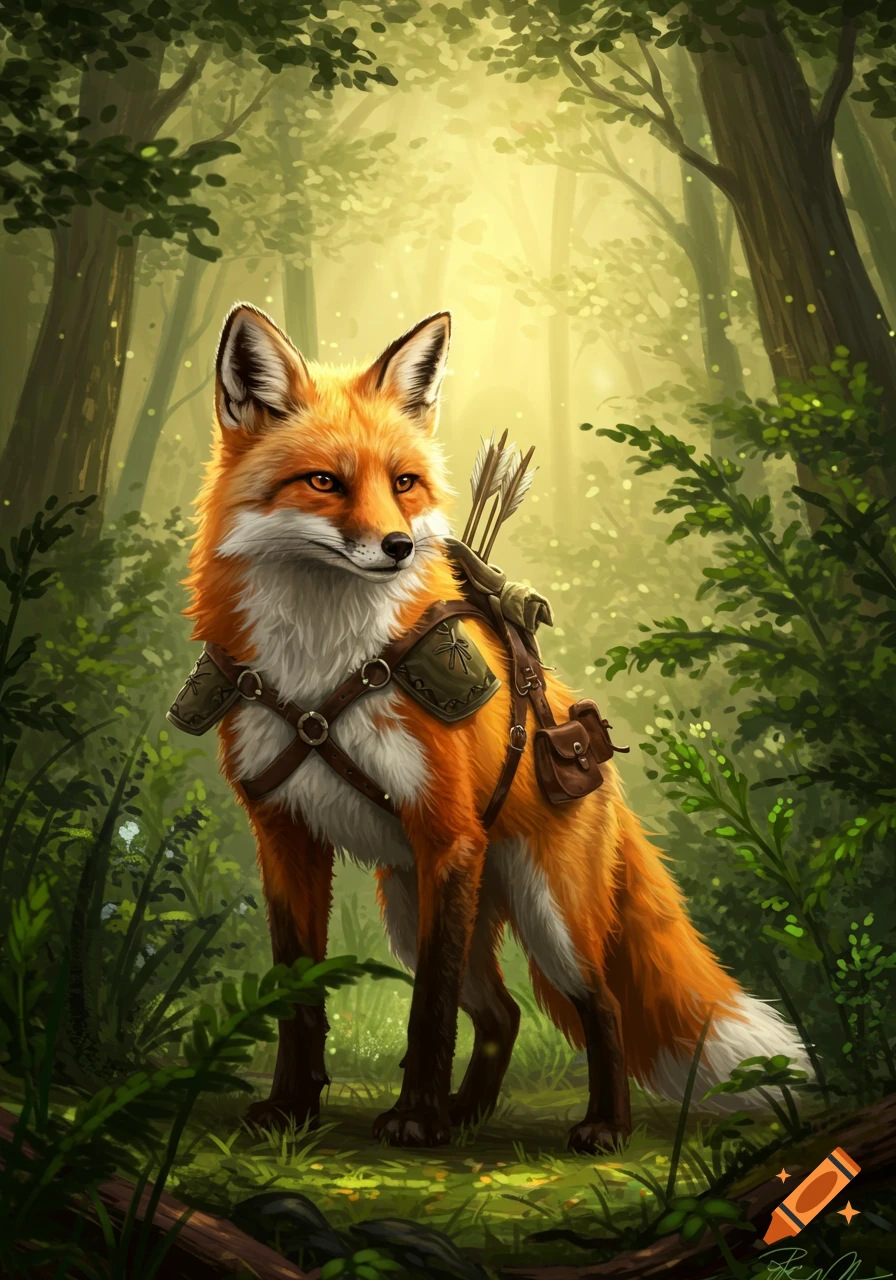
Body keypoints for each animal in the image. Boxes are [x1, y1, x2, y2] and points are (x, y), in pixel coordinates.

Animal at [184, 302, 810, 1151]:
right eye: (324, 482)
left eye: (404, 483)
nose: (399, 546)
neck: (321, 672)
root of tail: (585, 742)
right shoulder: (285, 837)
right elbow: (299, 998)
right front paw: (292, 1110)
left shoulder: (447, 834)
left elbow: (428, 1011)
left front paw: (415, 1118)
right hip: (411, 904)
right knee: (504, 1014)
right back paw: (466, 1114)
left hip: (544, 918)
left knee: (602, 1005)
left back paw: (598, 1127)